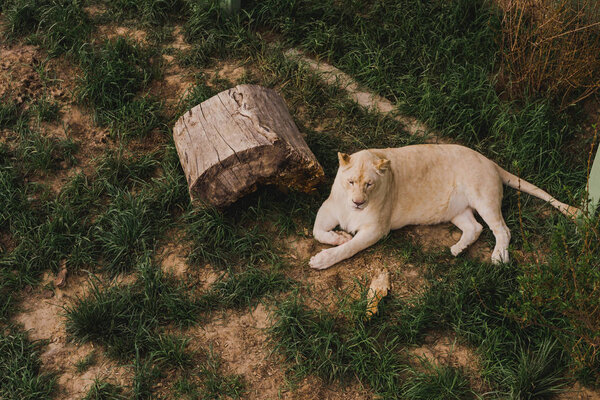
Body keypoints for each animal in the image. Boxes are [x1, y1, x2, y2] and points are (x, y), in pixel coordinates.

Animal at [310, 144, 576, 268]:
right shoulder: (329, 207)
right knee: (475, 228)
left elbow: (350, 249)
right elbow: (317, 231)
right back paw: (457, 249)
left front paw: (322, 260)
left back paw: (499, 257)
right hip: (458, 210)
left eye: (370, 184)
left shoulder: (378, 229)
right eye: (351, 182)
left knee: (503, 229)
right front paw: (340, 236)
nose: (358, 203)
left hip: (484, 198)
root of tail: (490, 162)